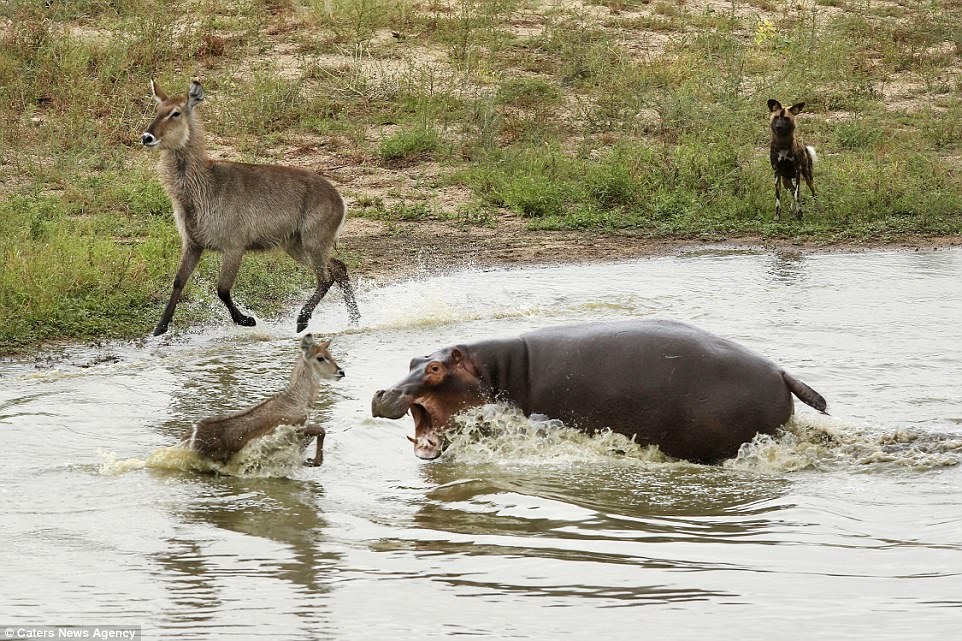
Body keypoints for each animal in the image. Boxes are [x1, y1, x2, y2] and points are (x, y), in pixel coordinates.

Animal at [138, 80, 356, 336]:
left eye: (175, 113)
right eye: (157, 110)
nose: (147, 137)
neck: (204, 186)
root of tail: (339, 198)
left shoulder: (234, 246)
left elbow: (222, 289)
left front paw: (246, 320)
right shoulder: (192, 243)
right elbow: (178, 281)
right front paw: (159, 328)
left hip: (313, 241)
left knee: (325, 277)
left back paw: (303, 320)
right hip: (297, 245)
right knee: (338, 267)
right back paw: (354, 320)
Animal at [182, 336, 344, 464]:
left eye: (330, 354)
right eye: (320, 357)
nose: (341, 372)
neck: (297, 400)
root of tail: (190, 439)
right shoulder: (293, 428)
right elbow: (321, 430)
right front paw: (314, 461)